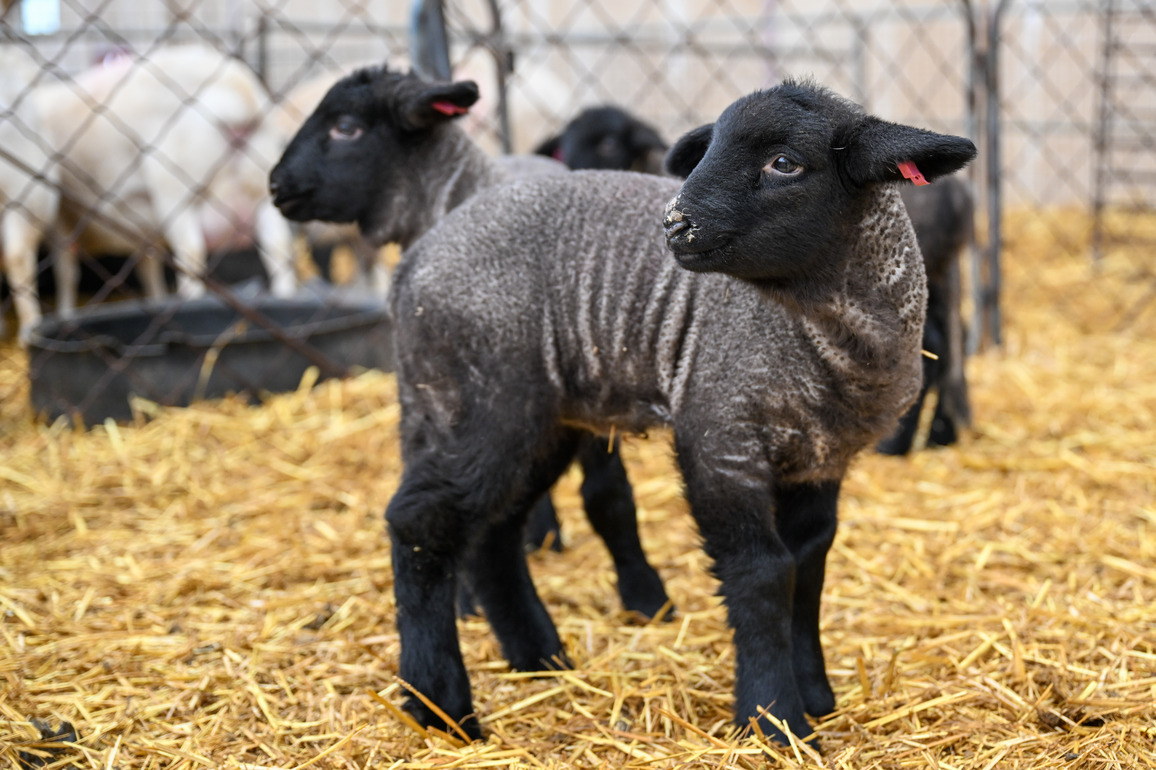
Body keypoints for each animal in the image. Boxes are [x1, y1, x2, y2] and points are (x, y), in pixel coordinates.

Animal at [32, 44, 295, 315]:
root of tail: (239, 93)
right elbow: (148, 265)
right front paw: (155, 299)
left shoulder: (62, 213)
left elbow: (65, 270)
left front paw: (65, 313)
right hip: (263, 190)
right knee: (278, 247)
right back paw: (286, 297)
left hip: (176, 192)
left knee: (191, 253)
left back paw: (190, 301)